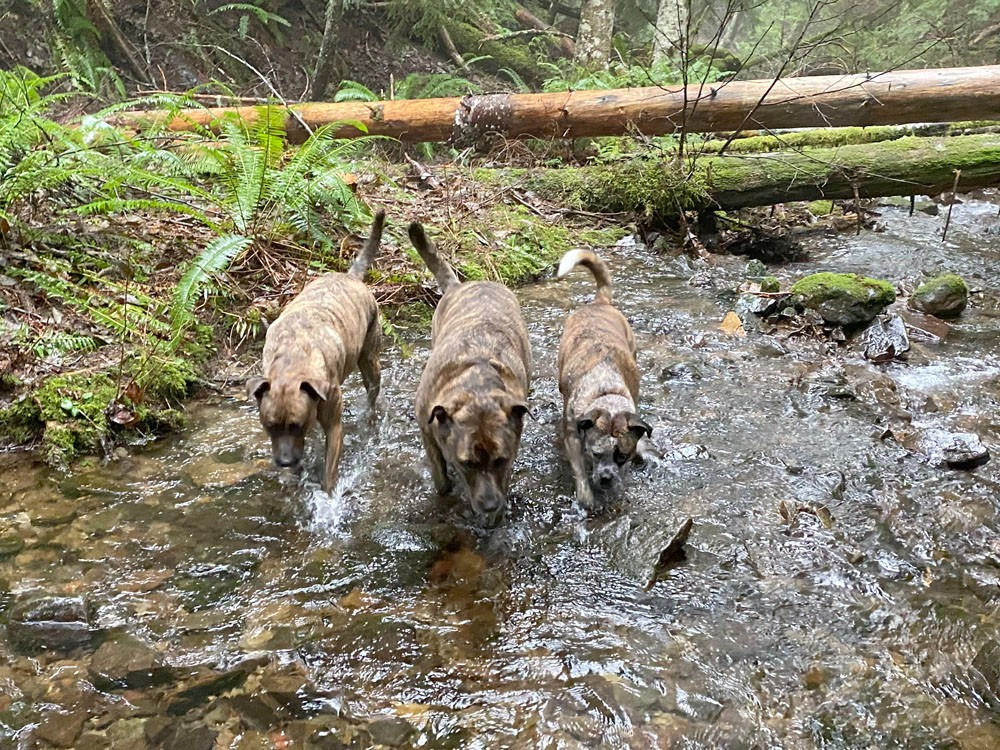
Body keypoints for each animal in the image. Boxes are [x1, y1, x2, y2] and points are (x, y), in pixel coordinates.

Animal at [247, 212, 386, 494]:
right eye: (269, 426)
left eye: (296, 425)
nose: (285, 462)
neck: (292, 363)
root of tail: (351, 277)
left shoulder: (334, 428)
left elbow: (329, 474)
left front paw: (327, 498)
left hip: (370, 360)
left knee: (372, 391)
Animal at [408, 223, 536, 528]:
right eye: (466, 463)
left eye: (501, 460)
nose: (489, 505)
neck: (476, 386)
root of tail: (463, 284)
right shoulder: (427, 428)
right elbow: (440, 477)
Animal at [556, 250, 648, 516]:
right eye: (596, 454)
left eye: (622, 456)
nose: (606, 478)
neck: (606, 393)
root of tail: (600, 302)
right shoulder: (574, 434)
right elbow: (578, 468)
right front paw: (586, 496)